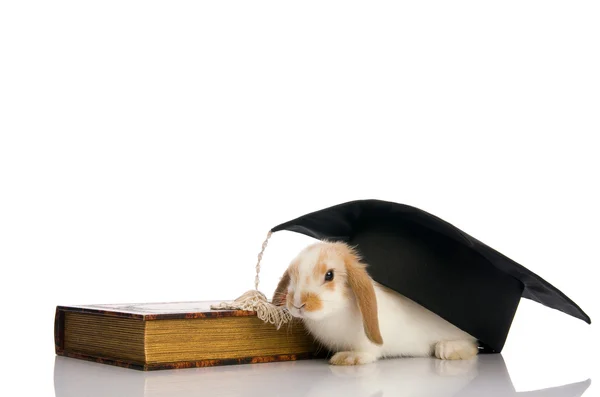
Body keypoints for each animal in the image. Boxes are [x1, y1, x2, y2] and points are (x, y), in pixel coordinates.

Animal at [274, 238, 480, 366]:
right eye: (292, 276)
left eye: (329, 275)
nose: (298, 304)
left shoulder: (367, 345)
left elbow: (367, 352)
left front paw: (348, 358)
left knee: (472, 345)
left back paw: (447, 349)